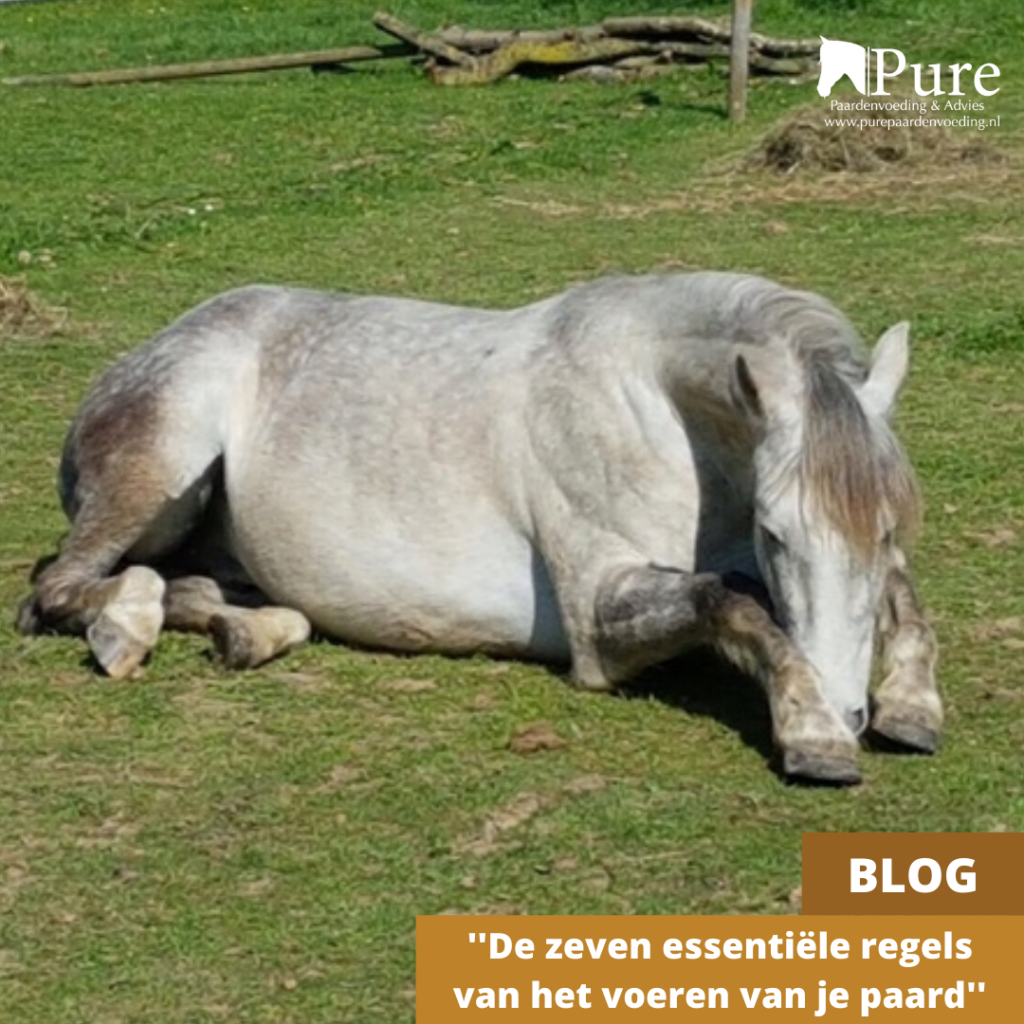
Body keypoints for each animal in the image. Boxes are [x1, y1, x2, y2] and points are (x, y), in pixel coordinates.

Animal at [17, 272, 941, 783]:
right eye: (776, 532)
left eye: (890, 528)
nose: (849, 707)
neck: (653, 408)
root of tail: (159, 342)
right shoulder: (598, 620)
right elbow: (737, 600)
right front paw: (816, 734)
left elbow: (904, 599)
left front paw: (907, 705)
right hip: (161, 474)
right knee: (64, 586)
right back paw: (123, 628)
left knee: (208, 592)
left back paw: (247, 633)